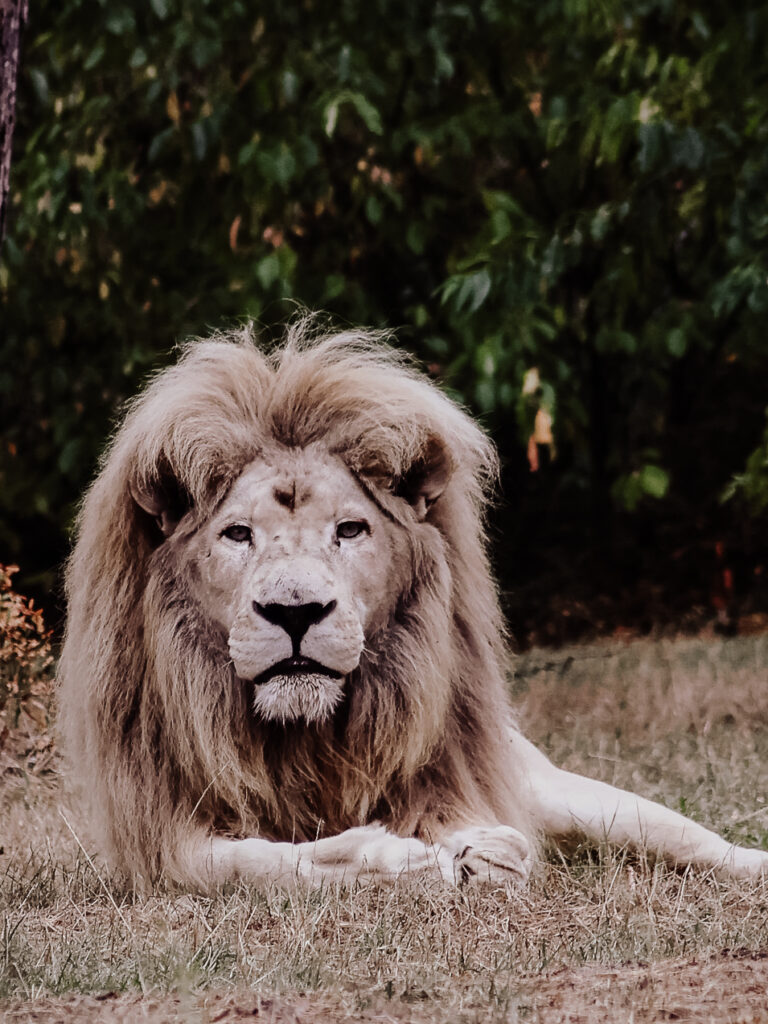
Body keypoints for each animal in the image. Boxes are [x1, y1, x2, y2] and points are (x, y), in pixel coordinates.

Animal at [58, 320, 768, 889]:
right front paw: (398, 857)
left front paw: (479, 853)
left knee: (680, 834)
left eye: (350, 530)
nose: (296, 612)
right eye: (237, 534)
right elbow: (262, 863)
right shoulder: (163, 840)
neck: (307, 738)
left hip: (555, 788)